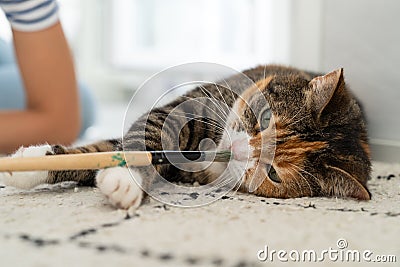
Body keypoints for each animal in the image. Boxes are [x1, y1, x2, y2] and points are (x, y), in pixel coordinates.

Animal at [0, 63, 372, 210]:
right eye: (265, 117)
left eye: (273, 174)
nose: (238, 149)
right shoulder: (178, 111)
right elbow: (122, 142)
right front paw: (27, 164)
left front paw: (122, 180)